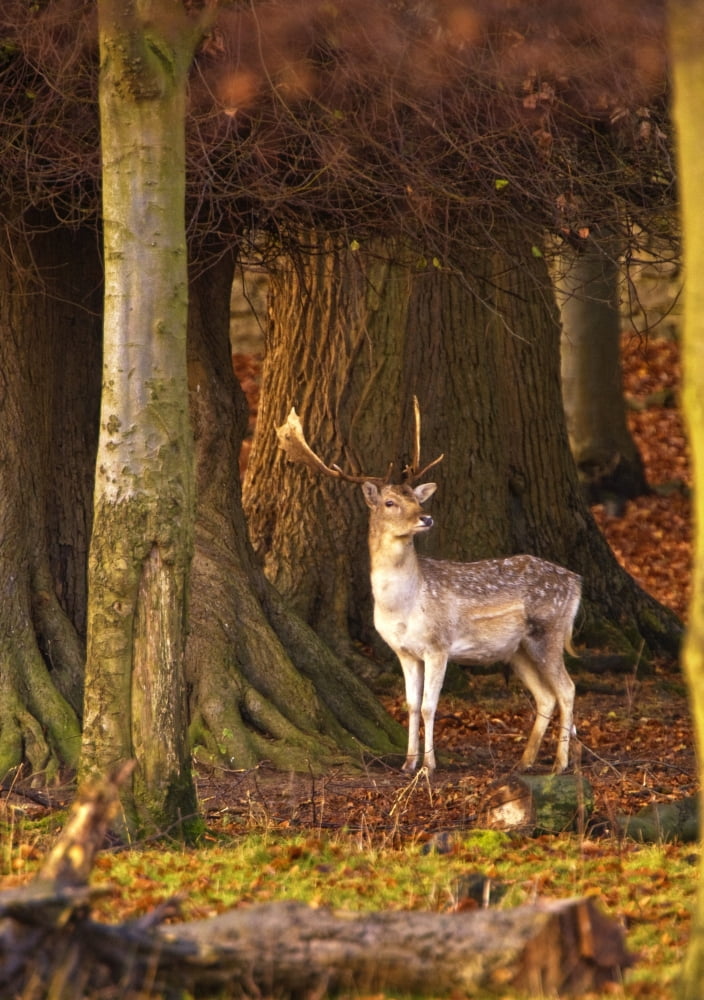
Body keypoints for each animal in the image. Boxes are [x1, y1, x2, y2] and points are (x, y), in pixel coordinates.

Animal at [277, 401, 582, 775]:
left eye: (416, 498)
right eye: (390, 502)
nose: (426, 517)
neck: (404, 605)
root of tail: (576, 581)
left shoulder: (438, 645)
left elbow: (428, 706)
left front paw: (429, 765)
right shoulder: (404, 651)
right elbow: (409, 705)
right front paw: (408, 763)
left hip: (548, 630)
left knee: (567, 689)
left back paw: (561, 764)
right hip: (517, 648)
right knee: (547, 695)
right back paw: (525, 762)